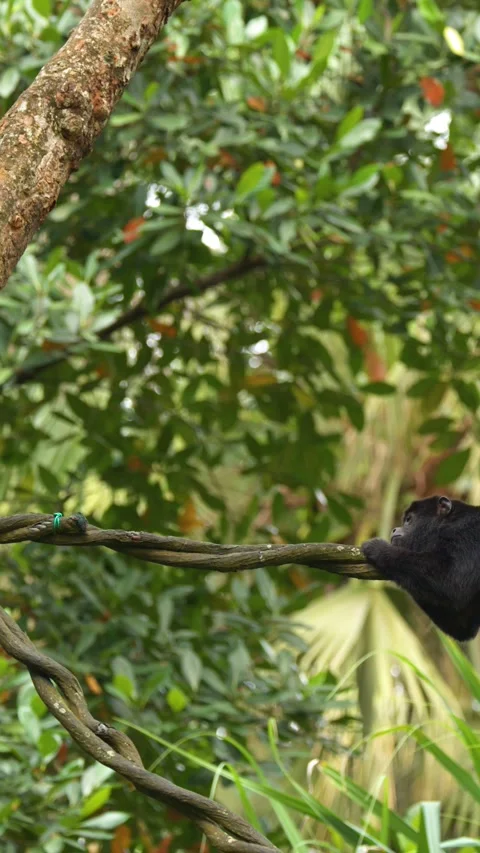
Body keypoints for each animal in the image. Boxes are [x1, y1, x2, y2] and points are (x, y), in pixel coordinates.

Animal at [361, 495, 480, 641]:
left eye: (408, 519)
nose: (394, 529)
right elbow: (462, 625)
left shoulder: (467, 532)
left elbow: (454, 581)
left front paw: (380, 549)